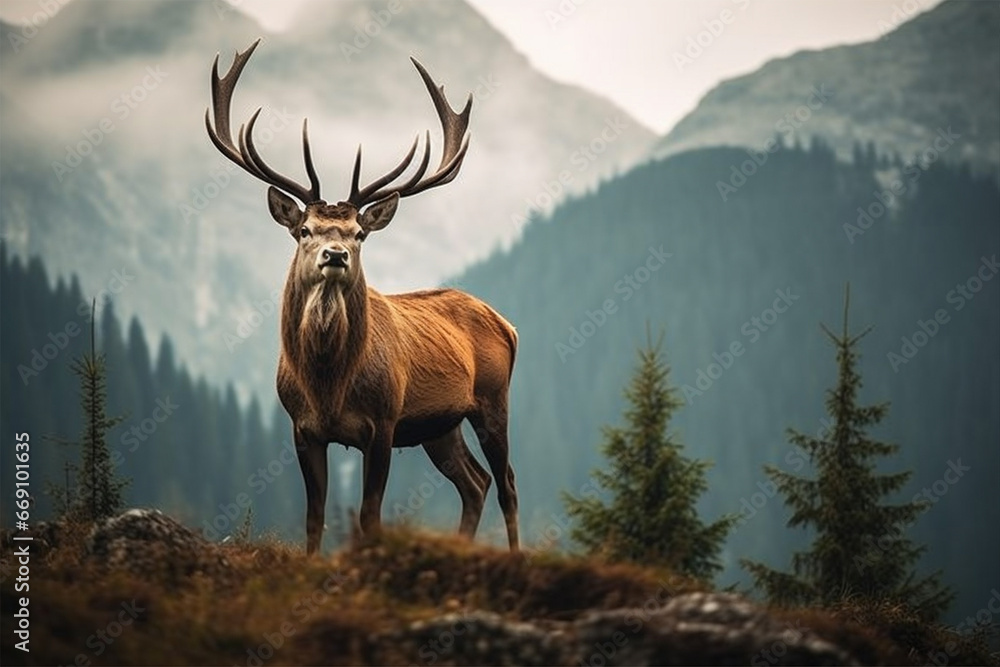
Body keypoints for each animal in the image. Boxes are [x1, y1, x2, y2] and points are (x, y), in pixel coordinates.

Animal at [205, 40, 519, 555]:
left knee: (507, 482)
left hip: (493, 400)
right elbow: (314, 517)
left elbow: (371, 516)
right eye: (305, 230)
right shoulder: (302, 428)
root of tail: (508, 324)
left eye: (358, 234)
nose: (335, 255)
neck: (329, 384)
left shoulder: (384, 423)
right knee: (475, 483)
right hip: (441, 425)